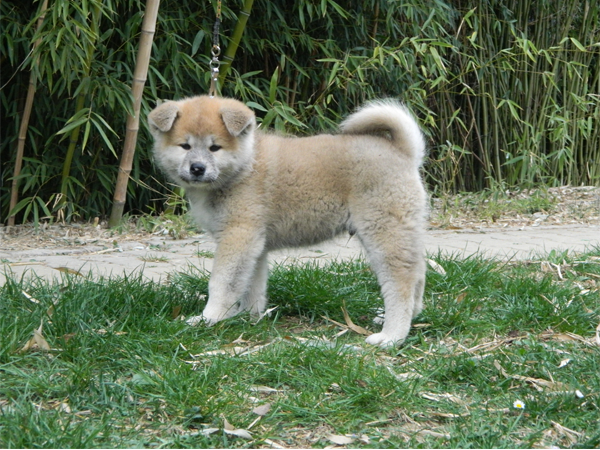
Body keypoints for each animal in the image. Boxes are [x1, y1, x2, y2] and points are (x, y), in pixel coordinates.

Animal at [148, 95, 427, 347]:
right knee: (418, 276)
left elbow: (222, 283)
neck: (245, 165)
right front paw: (247, 317)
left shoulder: (238, 235)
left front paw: (210, 318)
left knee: (401, 285)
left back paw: (391, 336)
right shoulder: (253, 242)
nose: (197, 168)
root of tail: (402, 152)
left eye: (214, 148)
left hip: (383, 233)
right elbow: (252, 284)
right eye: (185, 146)